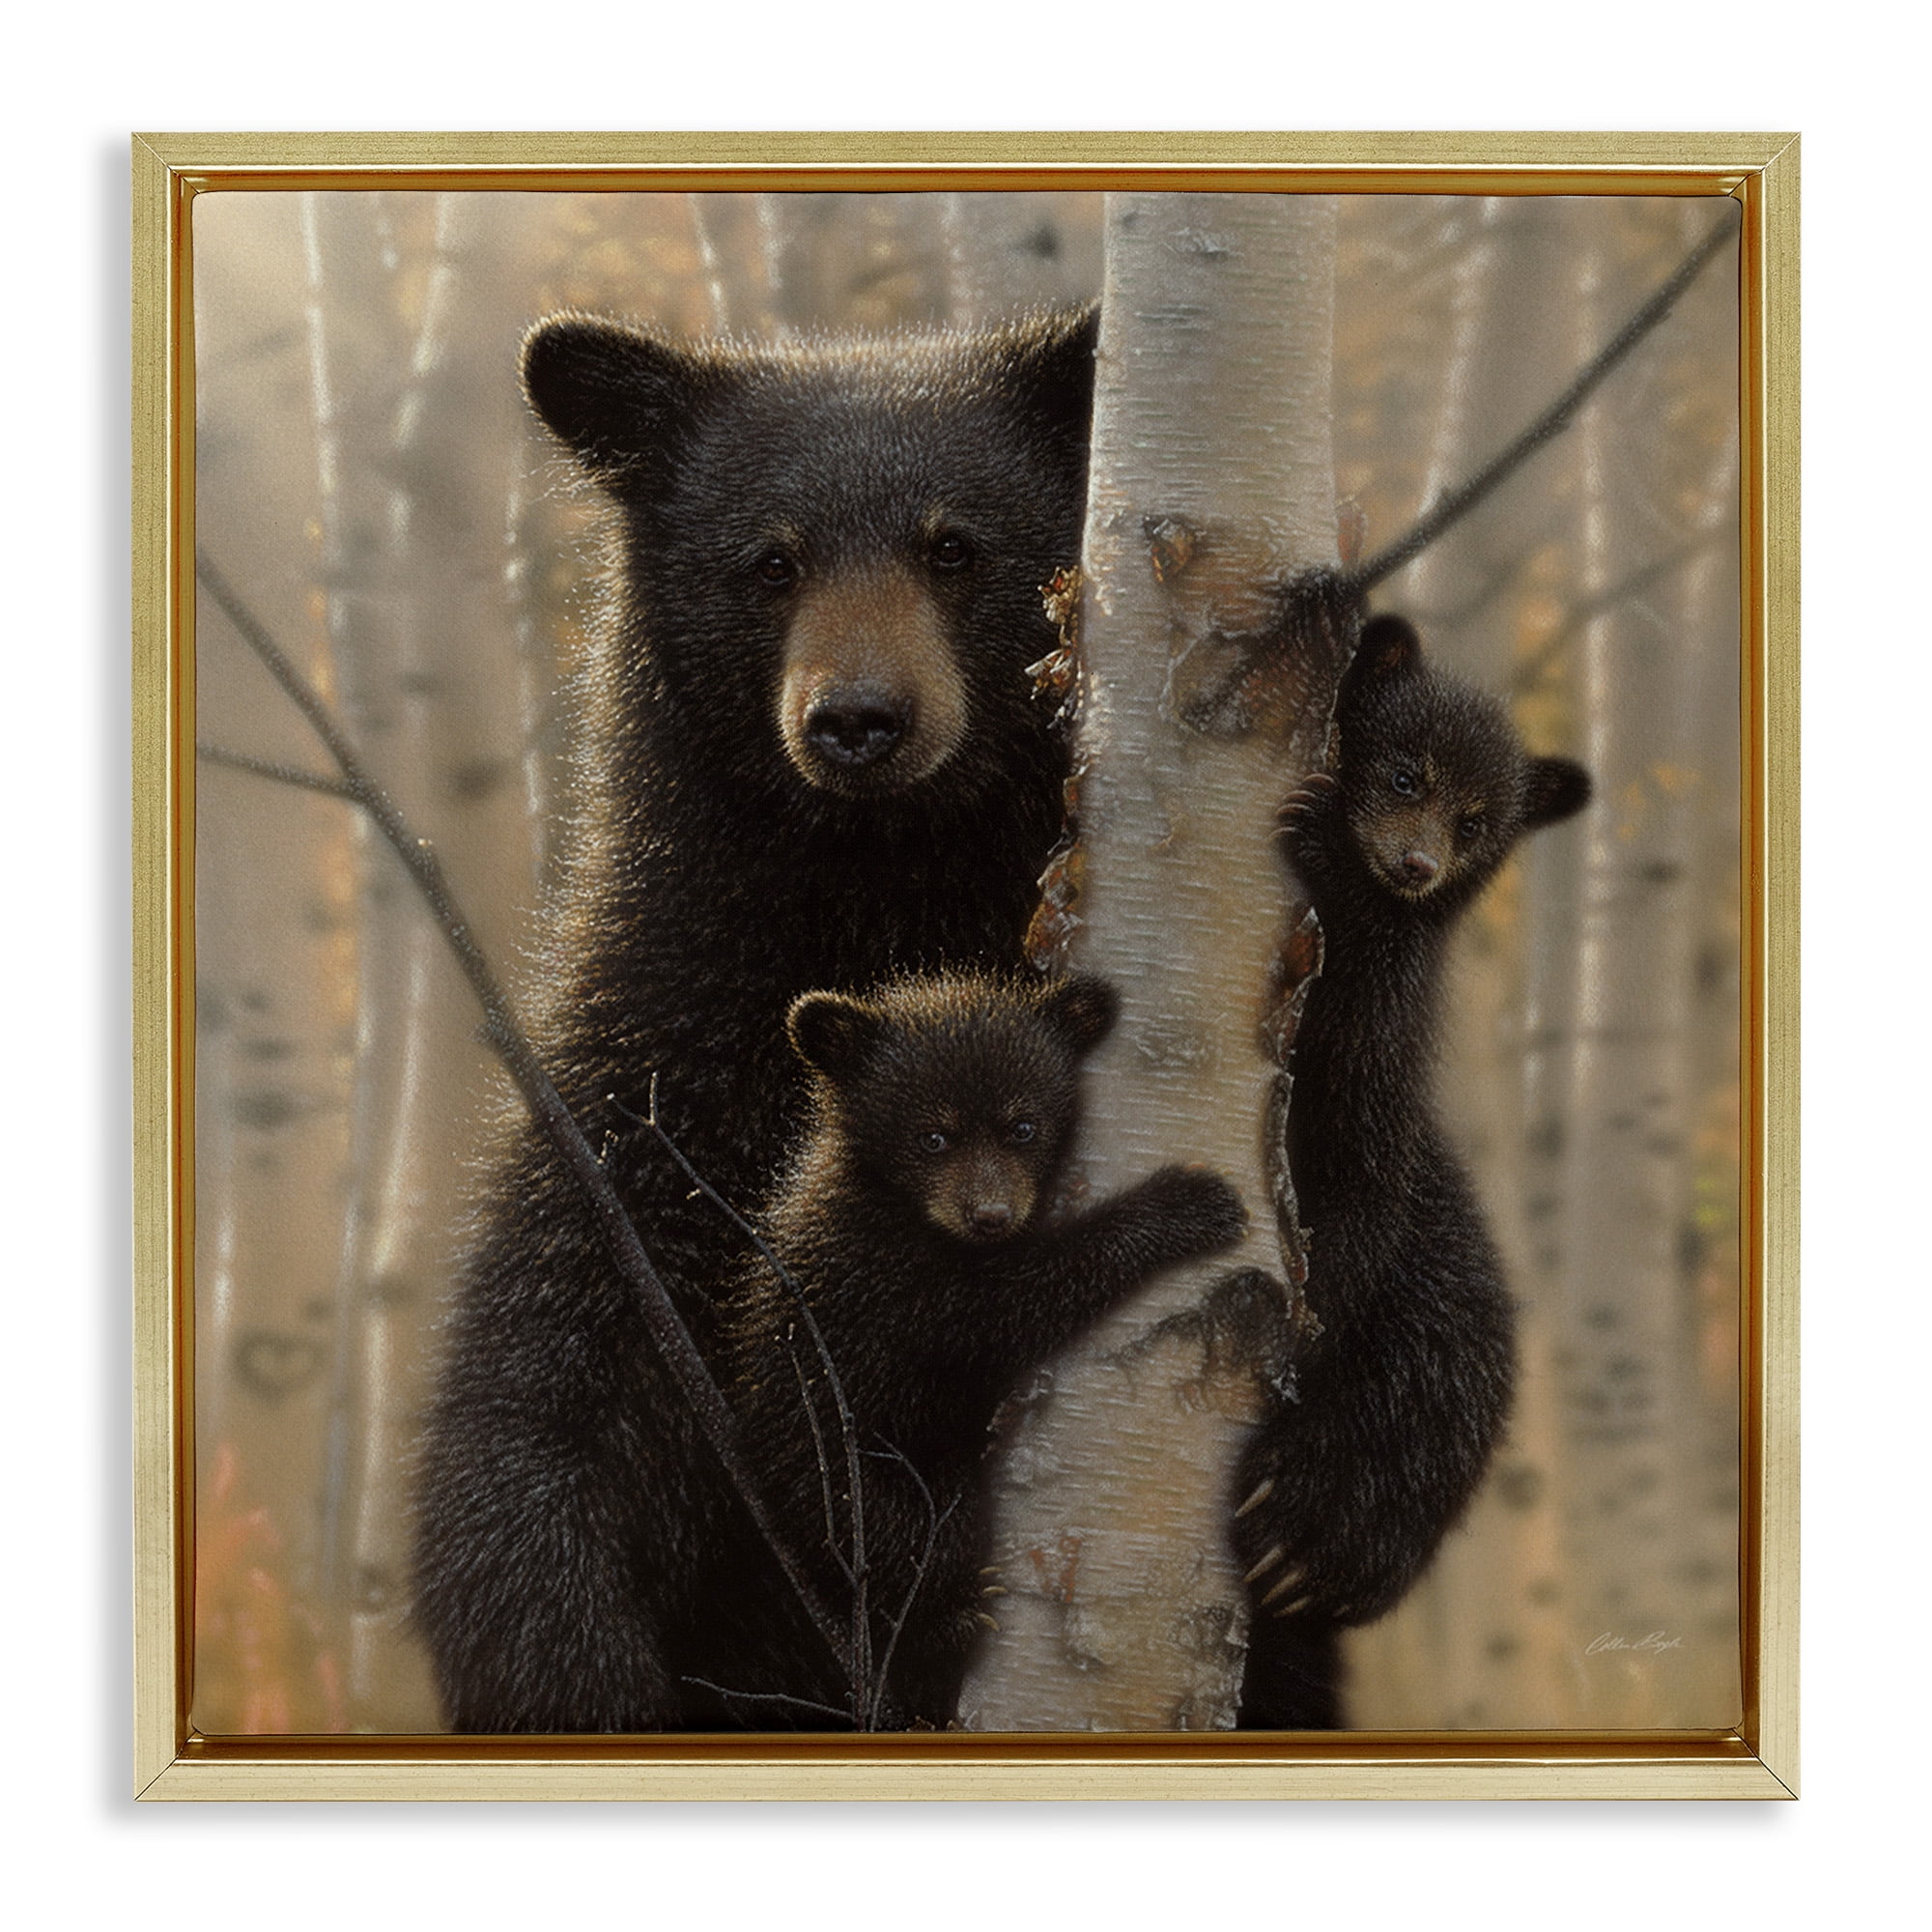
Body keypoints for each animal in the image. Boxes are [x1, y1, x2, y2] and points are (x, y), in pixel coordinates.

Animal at [411, 308, 1100, 1733]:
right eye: (769, 562)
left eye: (955, 546)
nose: (859, 720)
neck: (878, 901)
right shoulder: (655, 1089)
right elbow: (539, 1406)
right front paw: (575, 1671)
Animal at [692, 971, 1248, 1728]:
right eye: (932, 1136)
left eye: (1022, 1126)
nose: (989, 1214)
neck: (898, 1204)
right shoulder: (886, 1276)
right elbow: (1004, 1308)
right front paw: (1187, 1202)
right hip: (837, 1472)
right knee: (906, 1536)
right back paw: (947, 1622)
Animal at [1231, 611, 1592, 1730]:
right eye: (1402, 773)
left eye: (1477, 820)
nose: (1417, 864)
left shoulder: (1375, 1059)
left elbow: (1355, 1190)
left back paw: (1305, 1537)